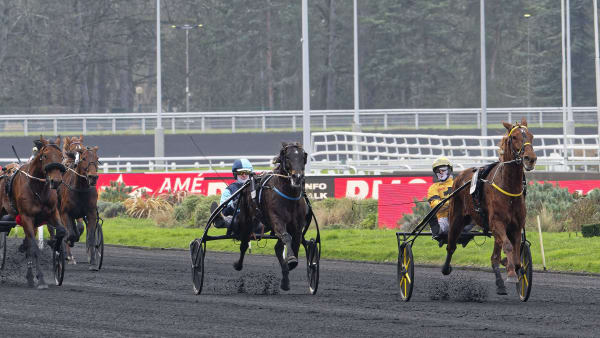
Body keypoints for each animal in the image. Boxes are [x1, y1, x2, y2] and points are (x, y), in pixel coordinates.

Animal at [0, 135, 67, 288]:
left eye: (61, 156)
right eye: (45, 155)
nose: (56, 181)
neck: (38, 189)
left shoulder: (52, 213)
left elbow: (61, 231)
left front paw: (56, 248)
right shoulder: (27, 217)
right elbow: (35, 249)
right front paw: (41, 280)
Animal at [58, 135, 99, 270]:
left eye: (97, 159)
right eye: (84, 158)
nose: (93, 177)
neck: (80, 189)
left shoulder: (90, 213)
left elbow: (89, 235)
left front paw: (93, 261)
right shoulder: (65, 213)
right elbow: (70, 233)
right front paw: (69, 241)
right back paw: (68, 255)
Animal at [234, 141, 310, 292]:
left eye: (303, 156)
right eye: (288, 157)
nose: (297, 177)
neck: (289, 196)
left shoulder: (297, 227)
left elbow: (295, 242)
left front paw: (290, 263)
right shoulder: (277, 221)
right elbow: (287, 237)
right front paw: (291, 259)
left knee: (278, 248)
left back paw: (285, 281)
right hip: (247, 220)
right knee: (244, 244)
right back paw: (238, 265)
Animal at [440, 119, 540, 296]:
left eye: (531, 135)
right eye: (514, 137)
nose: (530, 159)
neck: (508, 188)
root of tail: (460, 176)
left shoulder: (515, 226)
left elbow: (515, 253)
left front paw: (513, 267)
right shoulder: (497, 223)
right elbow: (508, 247)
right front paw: (511, 274)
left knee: (494, 257)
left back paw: (500, 283)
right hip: (457, 218)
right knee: (451, 245)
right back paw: (446, 268)